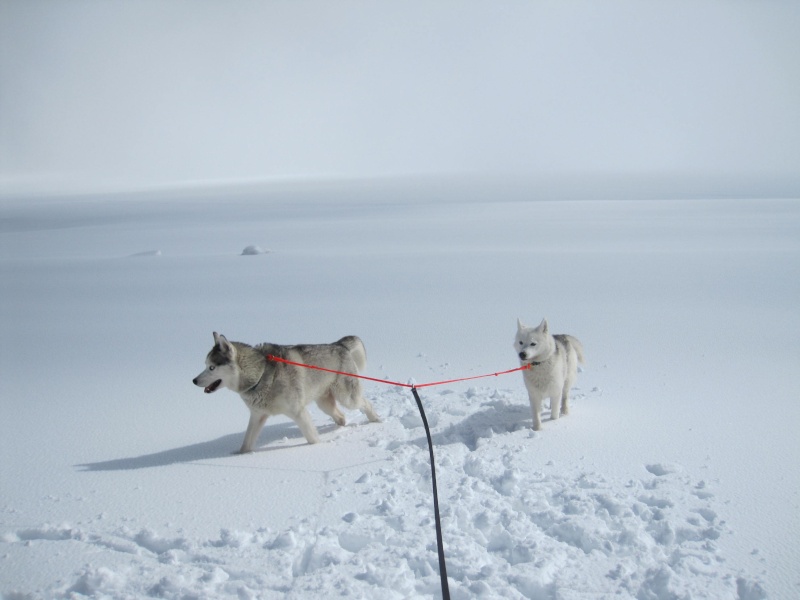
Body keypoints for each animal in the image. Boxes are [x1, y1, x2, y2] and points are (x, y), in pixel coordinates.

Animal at [194, 330, 382, 452]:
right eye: (205, 365)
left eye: (211, 367)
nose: (194, 380)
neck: (260, 374)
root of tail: (339, 344)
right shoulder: (257, 415)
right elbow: (246, 443)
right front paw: (239, 455)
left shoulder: (298, 412)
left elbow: (312, 438)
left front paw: (318, 448)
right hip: (324, 403)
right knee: (341, 416)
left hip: (348, 398)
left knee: (365, 403)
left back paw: (375, 419)